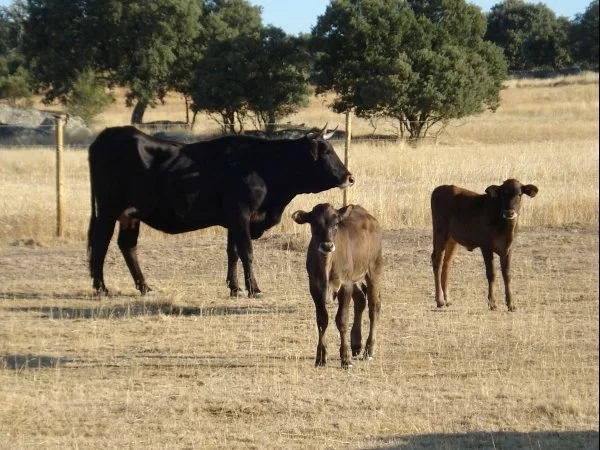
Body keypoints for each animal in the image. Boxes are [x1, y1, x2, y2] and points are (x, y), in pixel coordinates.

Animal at [86, 125, 354, 298]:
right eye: (326, 152)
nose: (349, 177)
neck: (263, 165)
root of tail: (106, 136)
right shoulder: (240, 215)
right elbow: (246, 252)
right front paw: (254, 289)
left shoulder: (232, 221)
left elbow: (232, 253)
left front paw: (234, 288)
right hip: (108, 210)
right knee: (100, 243)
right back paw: (101, 288)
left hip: (131, 216)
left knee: (127, 246)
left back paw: (144, 287)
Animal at [292, 204, 384, 370]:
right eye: (315, 224)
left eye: (335, 224)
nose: (327, 245)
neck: (327, 265)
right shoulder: (314, 288)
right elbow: (322, 320)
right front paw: (320, 357)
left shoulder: (345, 285)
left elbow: (342, 320)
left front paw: (345, 359)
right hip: (356, 278)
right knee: (360, 300)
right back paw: (356, 344)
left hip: (374, 269)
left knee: (374, 307)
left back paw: (369, 349)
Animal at [432, 178, 540, 312]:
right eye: (502, 194)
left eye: (519, 194)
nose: (509, 212)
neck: (504, 227)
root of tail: (439, 189)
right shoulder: (486, 247)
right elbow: (491, 274)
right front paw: (492, 303)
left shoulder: (508, 249)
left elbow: (507, 274)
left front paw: (511, 304)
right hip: (440, 233)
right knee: (437, 262)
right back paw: (440, 300)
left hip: (452, 240)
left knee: (447, 264)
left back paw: (448, 300)